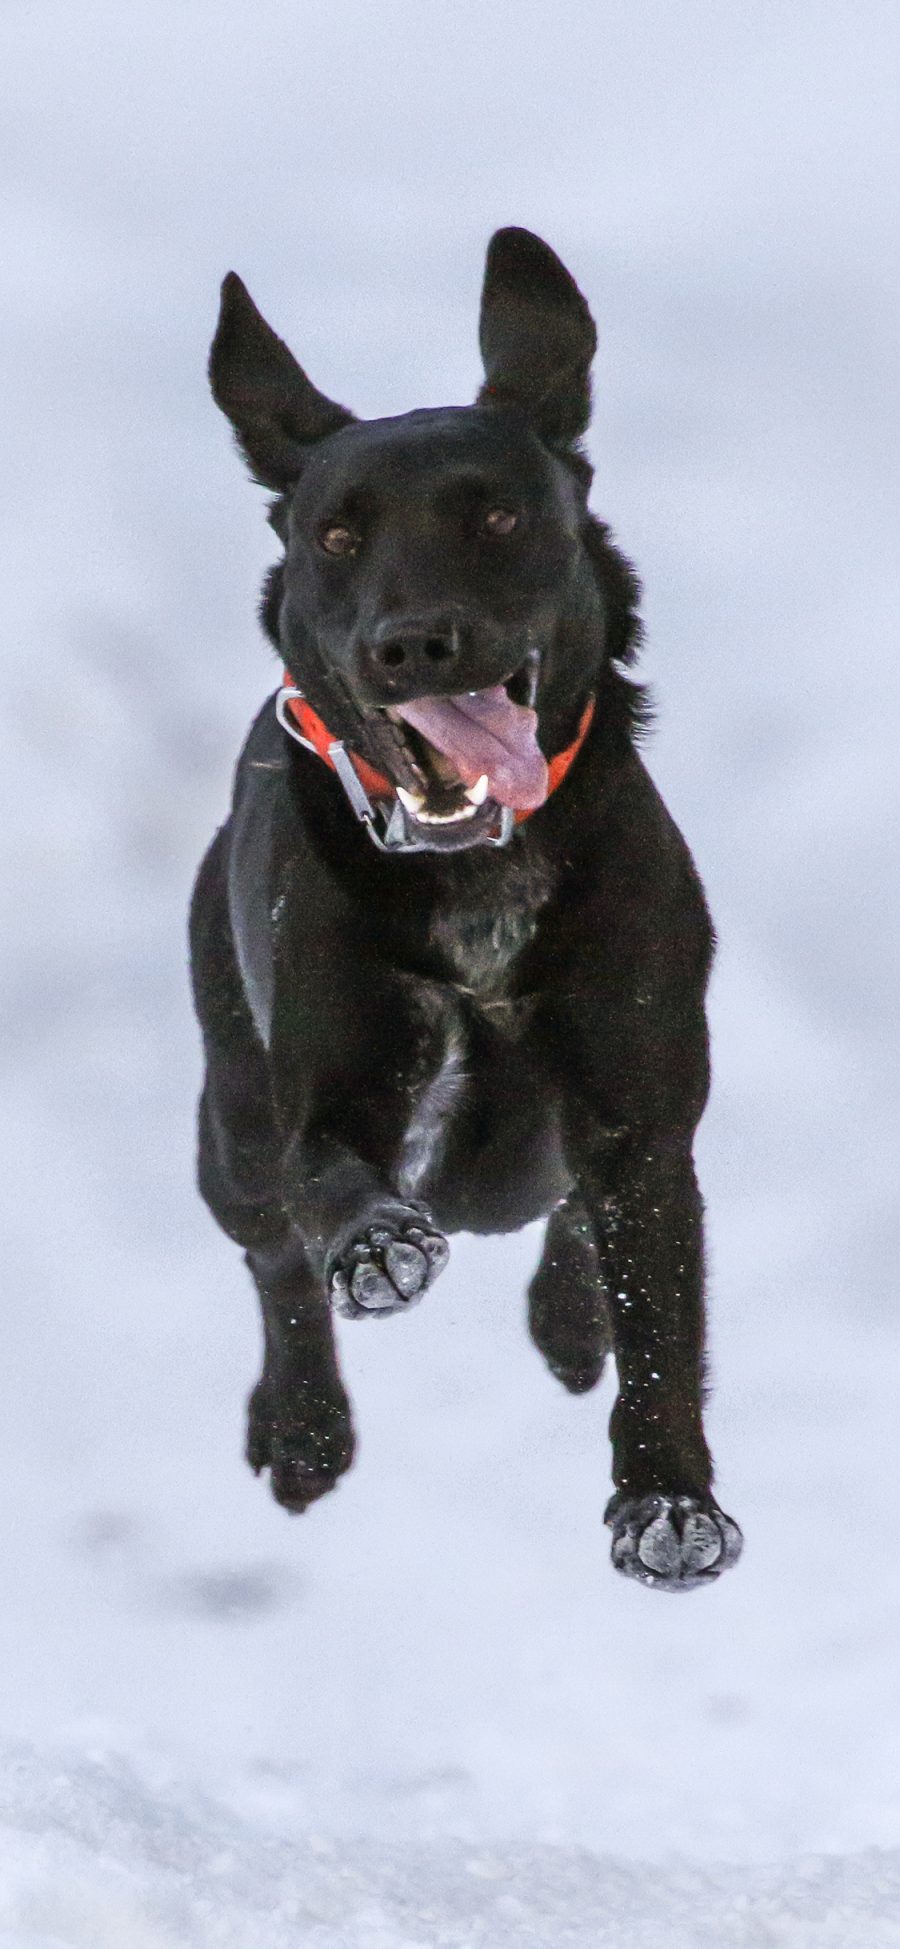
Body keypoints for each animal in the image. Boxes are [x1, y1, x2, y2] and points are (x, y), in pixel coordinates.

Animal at [187, 231, 736, 1598]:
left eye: (498, 514)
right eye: (336, 535)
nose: (414, 642)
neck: (474, 878)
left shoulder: (640, 1102)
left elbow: (659, 1300)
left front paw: (668, 1500)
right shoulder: (317, 1087)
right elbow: (328, 1183)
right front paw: (380, 1245)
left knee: (569, 1214)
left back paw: (567, 1321)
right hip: (226, 1121)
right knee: (271, 1252)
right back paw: (305, 1425)